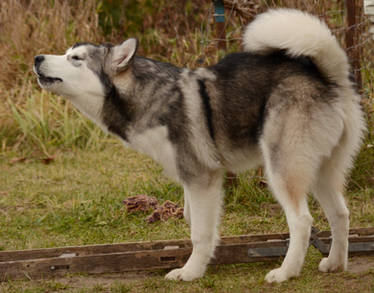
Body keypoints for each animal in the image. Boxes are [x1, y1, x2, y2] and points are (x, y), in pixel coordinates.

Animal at [33, 10, 364, 282]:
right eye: (66, 53)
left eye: (76, 59)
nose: (37, 58)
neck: (150, 96)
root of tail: (328, 77)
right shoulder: (191, 180)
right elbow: (192, 219)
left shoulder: (202, 177)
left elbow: (200, 233)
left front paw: (190, 272)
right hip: (321, 172)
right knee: (340, 214)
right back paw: (335, 263)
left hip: (282, 169)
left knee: (302, 221)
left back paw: (286, 272)